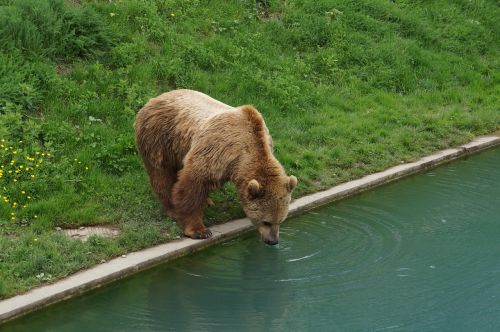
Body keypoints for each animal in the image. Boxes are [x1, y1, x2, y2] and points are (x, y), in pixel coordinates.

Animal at [134, 89, 296, 245]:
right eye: (266, 222)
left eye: (281, 220)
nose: (273, 241)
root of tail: (154, 98)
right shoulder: (218, 150)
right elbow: (193, 182)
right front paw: (199, 231)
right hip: (159, 137)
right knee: (161, 174)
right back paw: (172, 208)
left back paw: (207, 201)